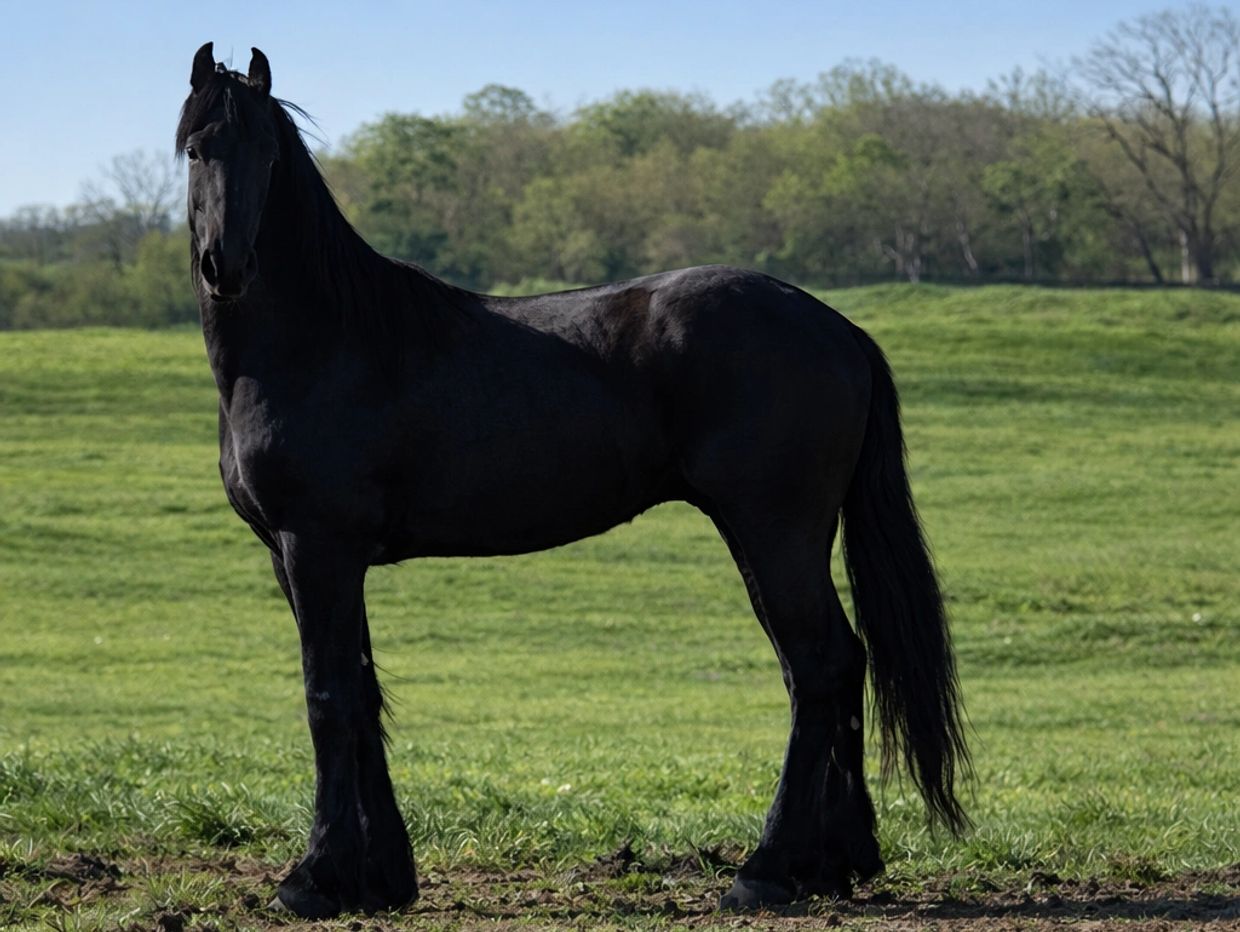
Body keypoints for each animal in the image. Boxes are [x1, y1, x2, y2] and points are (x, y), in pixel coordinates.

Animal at [176, 43, 969, 919]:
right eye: (196, 149)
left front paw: (315, 876)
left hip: (774, 532)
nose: (226, 265)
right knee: (835, 667)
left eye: (268, 155)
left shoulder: (315, 548)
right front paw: (379, 877)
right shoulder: (313, 558)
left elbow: (329, 698)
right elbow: (363, 691)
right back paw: (838, 862)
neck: (321, 342)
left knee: (821, 665)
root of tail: (838, 328)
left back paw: (765, 868)